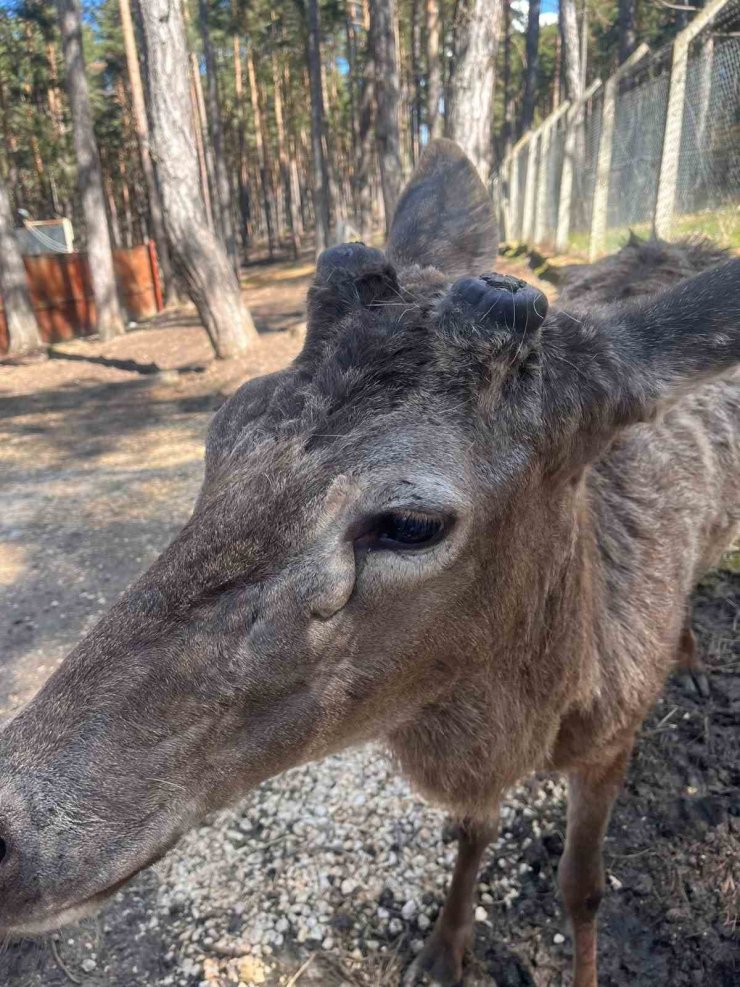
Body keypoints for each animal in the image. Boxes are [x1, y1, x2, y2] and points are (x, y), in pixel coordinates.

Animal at [0, 141, 736, 987]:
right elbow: (471, 832)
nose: (7, 833)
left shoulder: (614, 733)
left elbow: (583, 888)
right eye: (223, 427)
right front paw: (443, 947)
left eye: (412, 523)